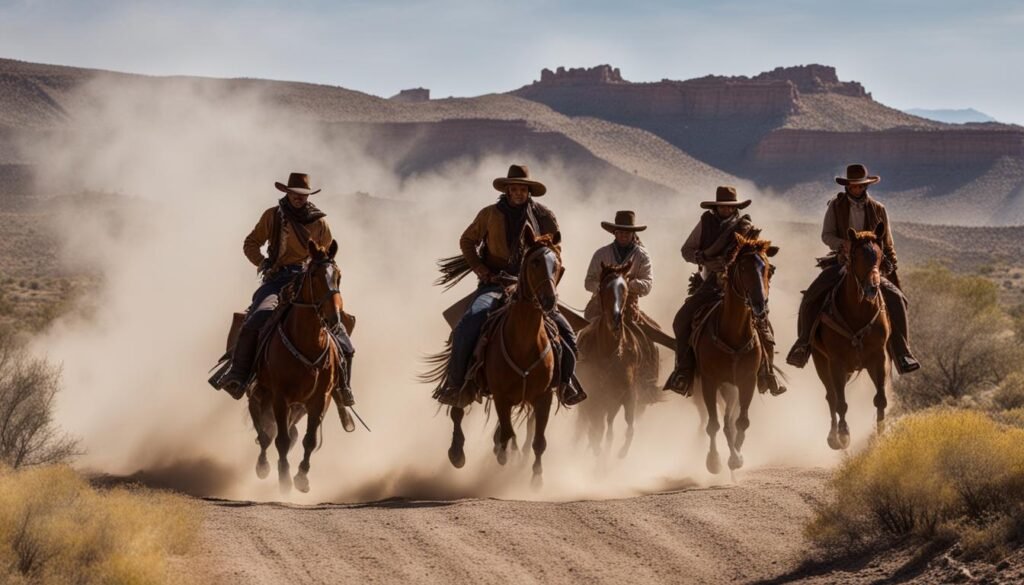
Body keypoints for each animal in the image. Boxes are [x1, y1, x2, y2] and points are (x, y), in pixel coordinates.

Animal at [248, 241, 352, 493]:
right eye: (314, 275)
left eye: (339, 276)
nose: (334, 318)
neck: (309, 342)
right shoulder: (280, 397)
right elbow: (281, 439)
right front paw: (284, 478)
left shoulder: (319, 399)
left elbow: (309, 440)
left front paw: (302, 477)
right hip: (259, 393)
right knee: (264, 431)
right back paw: (263, 465)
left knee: (282, 432)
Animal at [446, 224, 565, 485]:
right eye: (535, 262)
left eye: (558, 265)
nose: (549, 300)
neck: (524, 343)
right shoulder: (501, 397)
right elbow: (508, 434)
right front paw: (504, 456)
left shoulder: (543, 397)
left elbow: (538, 441)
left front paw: (536, 478)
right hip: (464, 380)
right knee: (457, 409)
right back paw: (457, 452)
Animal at [577, 262, 647, 461]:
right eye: (603, 288)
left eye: (625, 288)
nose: (615, 319)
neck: (609, 352)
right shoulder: (595, 397)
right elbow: (598, 431)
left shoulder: (627, 395)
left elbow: (628, 428)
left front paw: (620, 453)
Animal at [696, 233, 774, 475]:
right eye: (743, 268)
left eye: (767, 268)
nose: (759, 305)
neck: (733, 335)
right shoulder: (710, 382)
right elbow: (713, 424)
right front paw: (713, 461)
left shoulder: (747, 381)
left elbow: (742, 422)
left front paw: (737, 457)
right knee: (723, 421)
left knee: (731, 420)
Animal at [811, 223, 892, 448]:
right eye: (857, 256)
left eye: (880, 255)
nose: (872, 288)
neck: (857, 312)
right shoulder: (836, 362)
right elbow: (840, 403)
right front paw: (843, 434)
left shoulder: (878, 358)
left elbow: (880, 399)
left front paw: (880, 435)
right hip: (821, 362)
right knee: (831, 396)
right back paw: (833, 437)